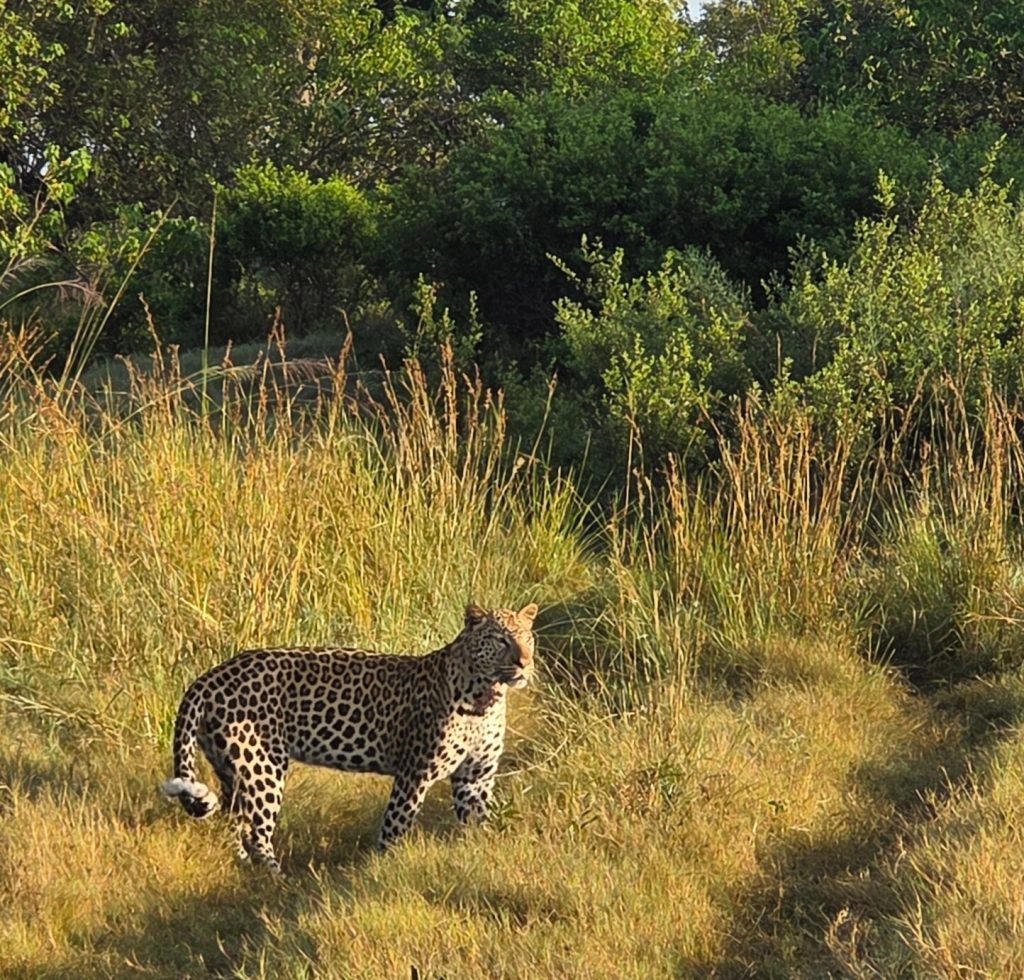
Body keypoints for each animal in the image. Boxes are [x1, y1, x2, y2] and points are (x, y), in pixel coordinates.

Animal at [161, 602, 538, 872]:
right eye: (501, 640)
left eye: (527, 637)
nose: (524, 662)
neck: (486, 698)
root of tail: (208, 678)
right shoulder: (414, 774)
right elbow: (395, 826)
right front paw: (388, 867)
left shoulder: (475, 777)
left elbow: (478, 822)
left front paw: (482, 853)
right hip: (263, 767)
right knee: (255, 831)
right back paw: (277, 880)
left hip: (232, 768)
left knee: (234, 824)